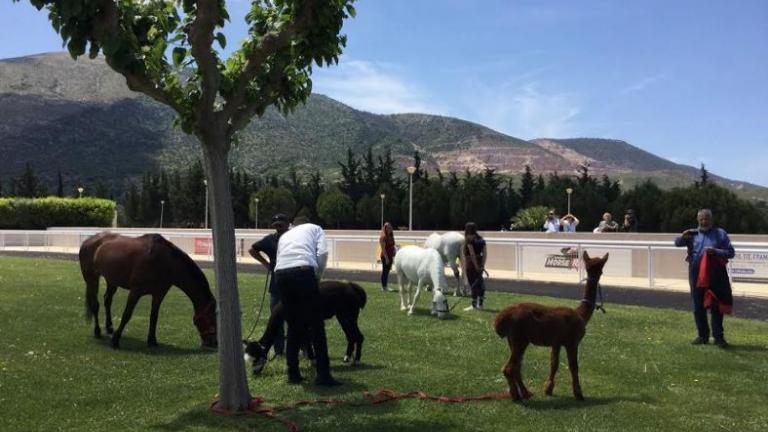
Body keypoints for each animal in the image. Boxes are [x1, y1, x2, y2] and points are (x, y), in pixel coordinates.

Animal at [80, 231, 218, 350]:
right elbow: (126, 315)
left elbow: (154, 316)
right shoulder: (135, 292)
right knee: (95, 304)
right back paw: (97, 331)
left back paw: (109, 328)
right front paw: (115, 340)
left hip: (112, 280)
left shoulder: (159, 294)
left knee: (107, 301)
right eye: (211, 317)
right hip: (91, 278)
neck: (163, 261)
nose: (214, 343)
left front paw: (152, 340)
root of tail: (88, 241)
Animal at [496, 250, 608, 402]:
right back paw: (516, 396)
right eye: (602, 270)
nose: (600, 275)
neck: (581, 315)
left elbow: (554, 363)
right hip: (519, 338)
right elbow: (574, 366)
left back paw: (525, 393)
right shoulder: (572, 341)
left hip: (513, 339)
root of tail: (500, 319)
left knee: (517, 366)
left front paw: (548, 389)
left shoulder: (557, 341)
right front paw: (579, 394)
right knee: (510, 367)